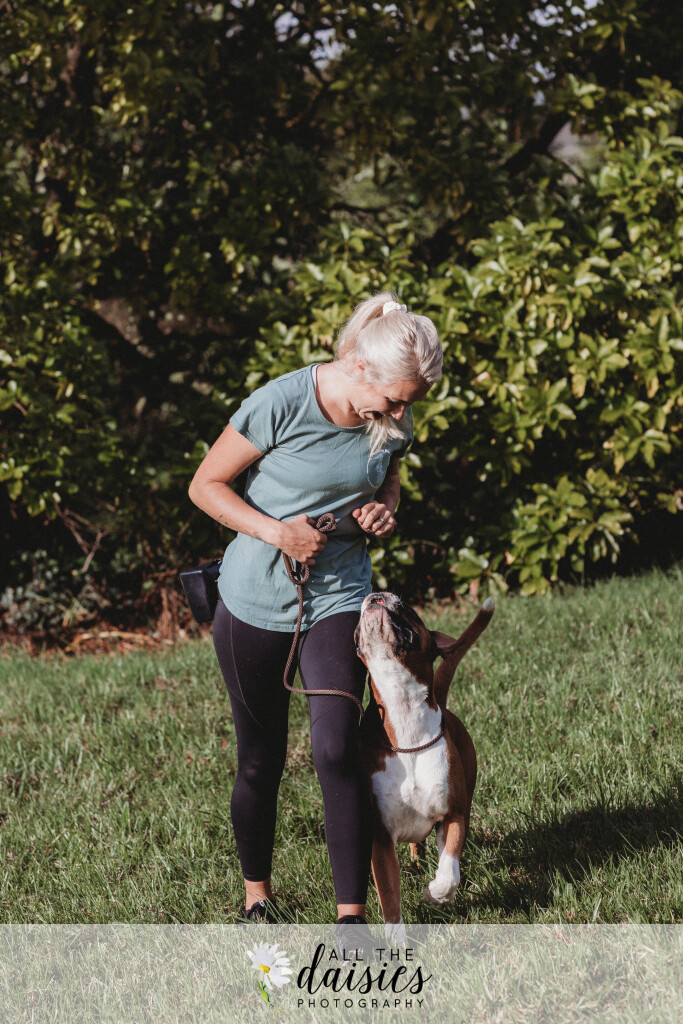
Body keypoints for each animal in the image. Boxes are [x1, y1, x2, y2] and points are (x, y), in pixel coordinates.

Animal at [355, 591, 494, 936]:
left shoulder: (454, 815)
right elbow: (390, 899)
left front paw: (433, 895)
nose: (377, 594)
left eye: (407, 608)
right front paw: (396, 941)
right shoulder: (380, 837)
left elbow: (449, 872)